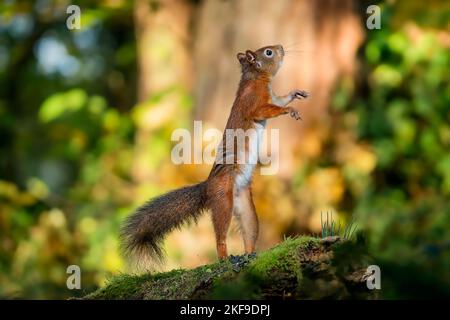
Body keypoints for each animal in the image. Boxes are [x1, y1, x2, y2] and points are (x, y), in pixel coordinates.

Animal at [120, 43, 310, 262]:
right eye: (268, 52)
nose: (280, 47)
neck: (255, 78)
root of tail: (208, 187)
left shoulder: (272, 97)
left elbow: (279, 100)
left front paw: (295, 94)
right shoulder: (252, 102)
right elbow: (265, 111)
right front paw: (291, 110)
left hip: (245, 206)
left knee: (249, 231)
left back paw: (251, 254)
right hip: (222, 200)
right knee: (220, 235)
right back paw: (225, 257)